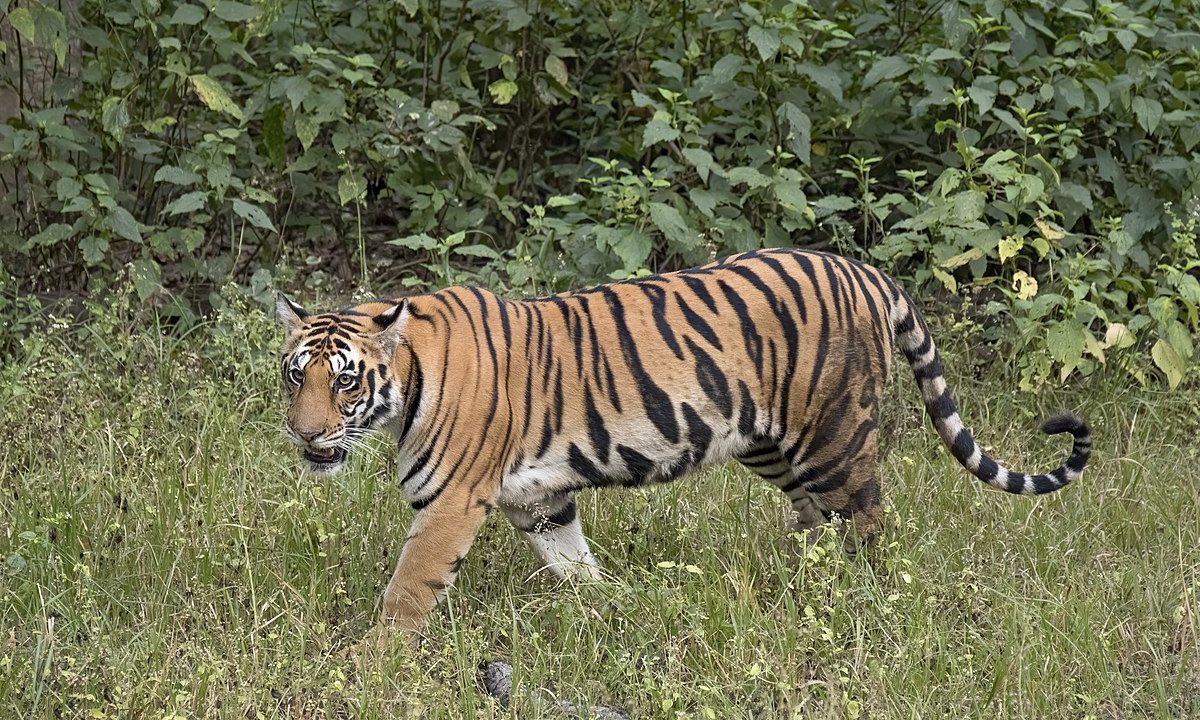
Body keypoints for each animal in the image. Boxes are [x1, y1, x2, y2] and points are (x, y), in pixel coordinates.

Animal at [275, 247, 1091, 637]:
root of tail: (865, 271)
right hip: (772, 444)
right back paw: (798, 587)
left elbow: (408, 589)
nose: (305, 434)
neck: (406, 384)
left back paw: (860, 601)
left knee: (867, 522)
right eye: (294, 377)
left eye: (345, 382)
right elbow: (574, 563)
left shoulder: (450, 503)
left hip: (834, 438)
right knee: (815, 522)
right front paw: (612, 609)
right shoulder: (538, 500)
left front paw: (376, 663)